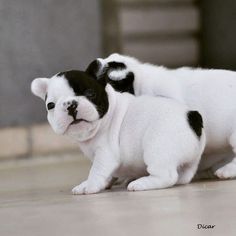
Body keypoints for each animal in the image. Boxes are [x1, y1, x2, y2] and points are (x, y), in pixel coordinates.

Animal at [30, 69, 205, 194]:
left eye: (90, 93)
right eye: (50, 105)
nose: (70, 105)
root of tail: (193, 117)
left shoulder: (105, 154)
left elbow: (97, 170)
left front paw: (90, 185)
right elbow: (107, 174)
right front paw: (101, 183)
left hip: (157, 148)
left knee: (167, 176)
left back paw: (141, 183)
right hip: (190, 159)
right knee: (184, 174)